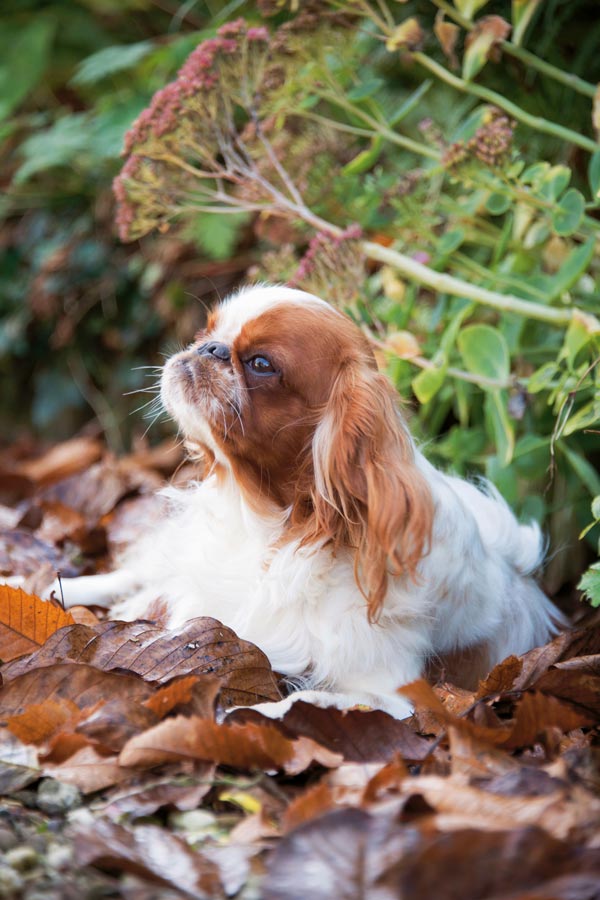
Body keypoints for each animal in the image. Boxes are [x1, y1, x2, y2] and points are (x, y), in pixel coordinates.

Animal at [41, 288, 564, 716]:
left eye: (261, 364)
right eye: (204, 333)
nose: (208, 349)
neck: (264, 522)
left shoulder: (400, 697)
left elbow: (307, 700)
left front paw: (243, 714)